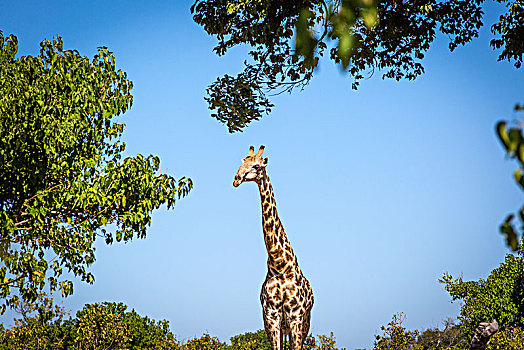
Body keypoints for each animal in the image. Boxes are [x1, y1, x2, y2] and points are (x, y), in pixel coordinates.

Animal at [234, 145, 316, 350]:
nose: (236, 179)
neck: (279, 265)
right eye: (242, 161)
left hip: (305, 324)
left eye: (256, 166)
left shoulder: (296, 317)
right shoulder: (270, 317)